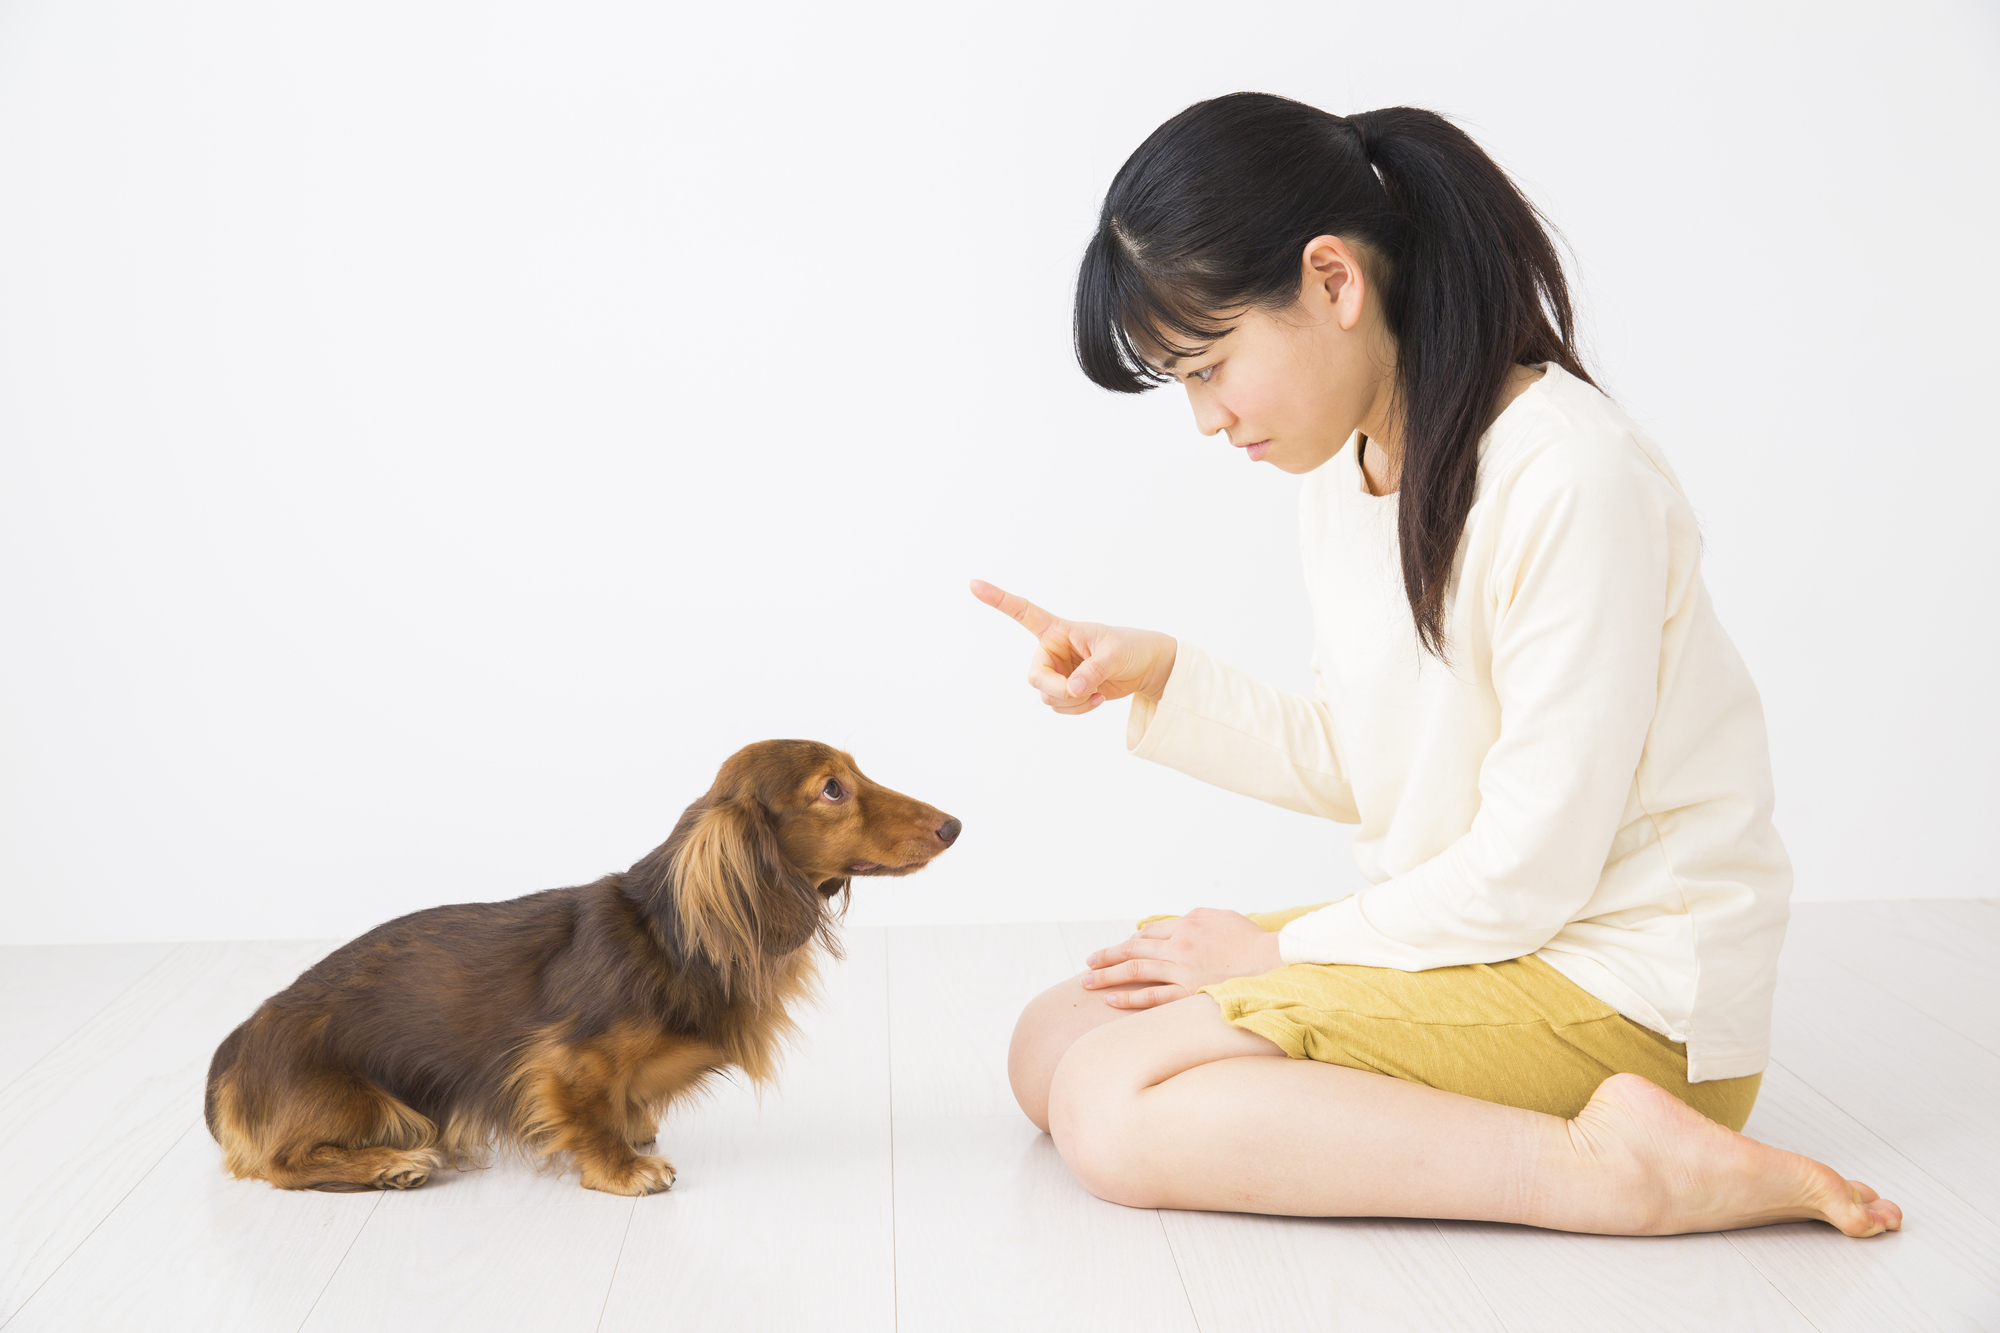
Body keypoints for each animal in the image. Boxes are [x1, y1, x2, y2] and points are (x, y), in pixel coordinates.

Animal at [201, 736, 960, 1192]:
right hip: (358, 1097)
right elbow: (588, 1112)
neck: (671, 933)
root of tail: (238, 1044)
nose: (954, 824)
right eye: (832, 789)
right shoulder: (564, 1060)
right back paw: (392, 1163)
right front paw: (625, 1167)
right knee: (281, 1163)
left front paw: (636, 1130)